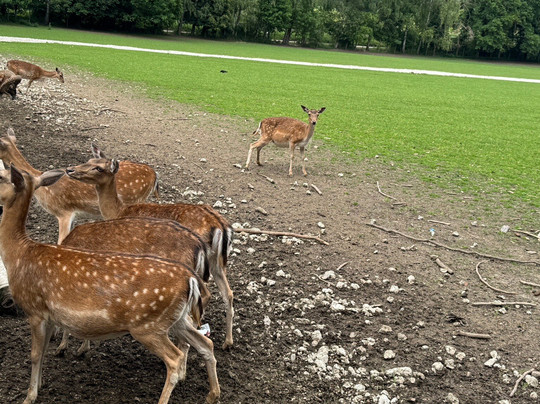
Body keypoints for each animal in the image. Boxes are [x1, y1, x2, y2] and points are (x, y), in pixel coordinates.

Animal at [66, 156, 236, 349]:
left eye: (99, 168)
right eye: (89, 160)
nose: (70, 170)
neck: (118, 210)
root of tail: (221, 226)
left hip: (194, 266)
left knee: (205, 295)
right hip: (217, 261)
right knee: (228, 294)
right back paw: (227, 342)